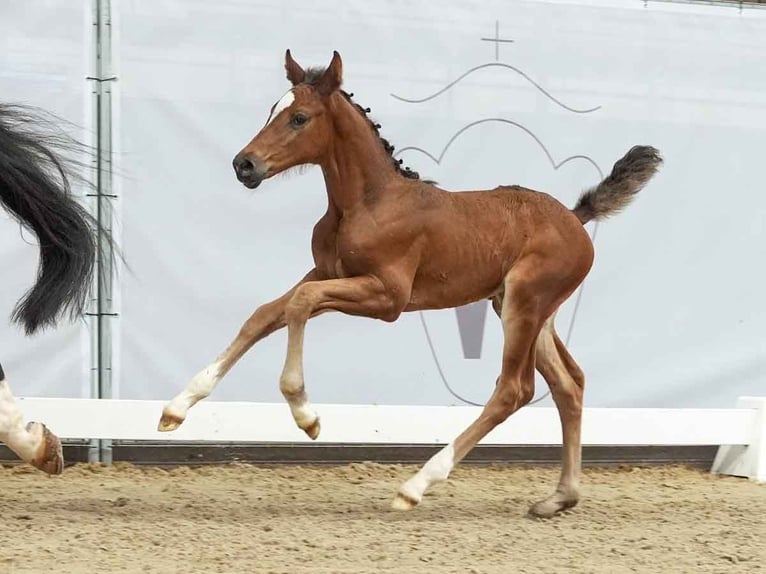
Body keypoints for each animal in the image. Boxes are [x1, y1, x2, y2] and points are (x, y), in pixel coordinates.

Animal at [159, 50, 664, 516]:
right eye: (271, 109)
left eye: (299, 117)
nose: (244, 165)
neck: (367, 202)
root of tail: (576, 218)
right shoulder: (328, 273)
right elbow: (265, 314)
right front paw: (176, 408)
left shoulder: (388, 297)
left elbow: (300, 303)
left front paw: (306, 415)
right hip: (524, 308)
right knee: (568, 383)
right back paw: (560, 497)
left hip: (525, 304)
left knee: (513, 390)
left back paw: (416, 485)